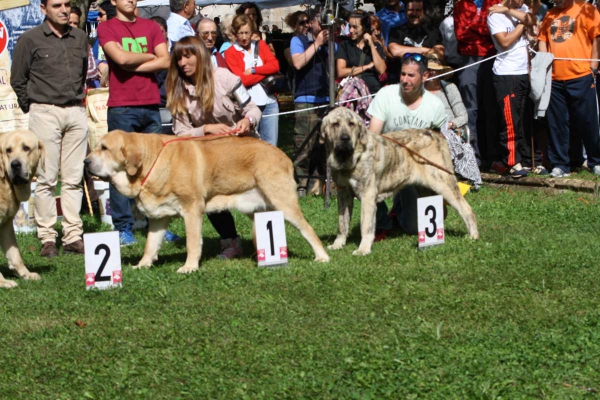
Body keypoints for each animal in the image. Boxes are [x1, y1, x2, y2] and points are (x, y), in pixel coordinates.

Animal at [0, 130, 45, 290]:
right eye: (8, 150)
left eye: (26, 148)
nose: (15, 164)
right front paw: (3, 282)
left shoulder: (5, 224)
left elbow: (15, 254)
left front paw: (26, 274)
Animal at [85, 130, 330, 274]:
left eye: (104, 148)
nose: (86, 162)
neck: (151, 162)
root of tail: (284, 155)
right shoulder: (158, 218)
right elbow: (150, 244)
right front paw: (143, 264)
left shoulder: (192, 210)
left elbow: (193, 243)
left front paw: (189, 267)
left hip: (283, 203)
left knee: (307, 229)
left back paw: (322, 256)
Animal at [322, 107, 480, 256]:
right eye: (335, 124)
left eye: (351, 124)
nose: (345, 138)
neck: (348, 158)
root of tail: (434, 133)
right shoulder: (343, 194)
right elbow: (342, 223)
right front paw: (338, 244)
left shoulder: (367, 195)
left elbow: (366, 225)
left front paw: (363, 249)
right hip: (427, 190)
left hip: (443, 183)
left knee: (467, 209)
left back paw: (473, 236)